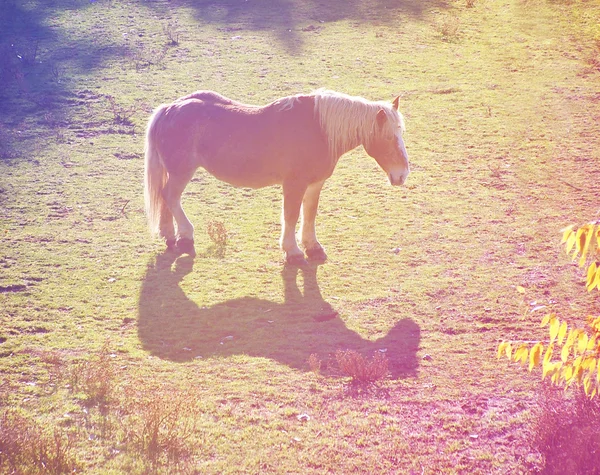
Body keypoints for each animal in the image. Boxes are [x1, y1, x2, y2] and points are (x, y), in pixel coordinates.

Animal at [143, 89, 410, 264]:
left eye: (401, 133)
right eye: (388, 137)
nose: (402, 175)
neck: (318, 129)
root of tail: (168, 109)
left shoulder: (315, 184)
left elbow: (309, 213)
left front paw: (313, 247)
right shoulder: (294, 184)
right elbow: (291, 215)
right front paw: (293, 251)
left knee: (167, 198)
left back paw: (171, 236)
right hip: (182, 172)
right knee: (170, 196)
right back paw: (186, 235)